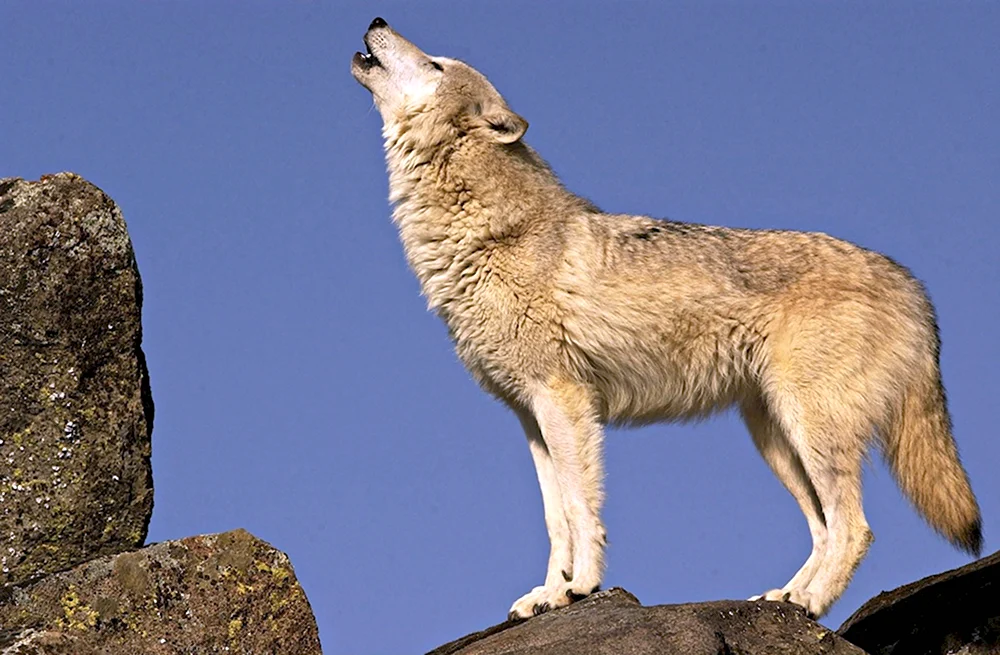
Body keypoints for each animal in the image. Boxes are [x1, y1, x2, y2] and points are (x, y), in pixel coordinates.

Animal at [351, 17, 981, 620]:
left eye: (436, 64)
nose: (377, 19)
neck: (486, 234)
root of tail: (913, 285)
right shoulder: (530, 416)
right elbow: (555, 520)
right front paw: (545, 595)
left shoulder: (564, 401)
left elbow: (580, 508)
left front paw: (578, 588)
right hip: (774, 438)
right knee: (824, 528)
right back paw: (784, 600)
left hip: (809, 428)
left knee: (854, 528)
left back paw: (809, 603)